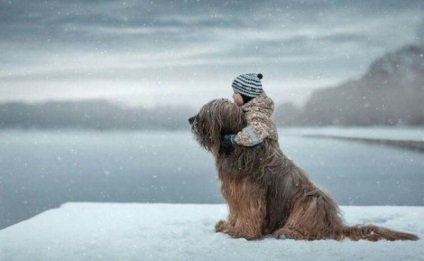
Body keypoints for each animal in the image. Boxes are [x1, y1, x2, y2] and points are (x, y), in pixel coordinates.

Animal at [190, 98, 420, 241]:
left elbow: (249, 212)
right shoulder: (235, 192)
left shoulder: (249, 193)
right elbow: (236, 211)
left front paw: (242, 232)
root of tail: (335, 224)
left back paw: (289, 231)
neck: (235, 145)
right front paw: (228, 226)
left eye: (207, 112)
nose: (190, 119)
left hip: (312, 200)